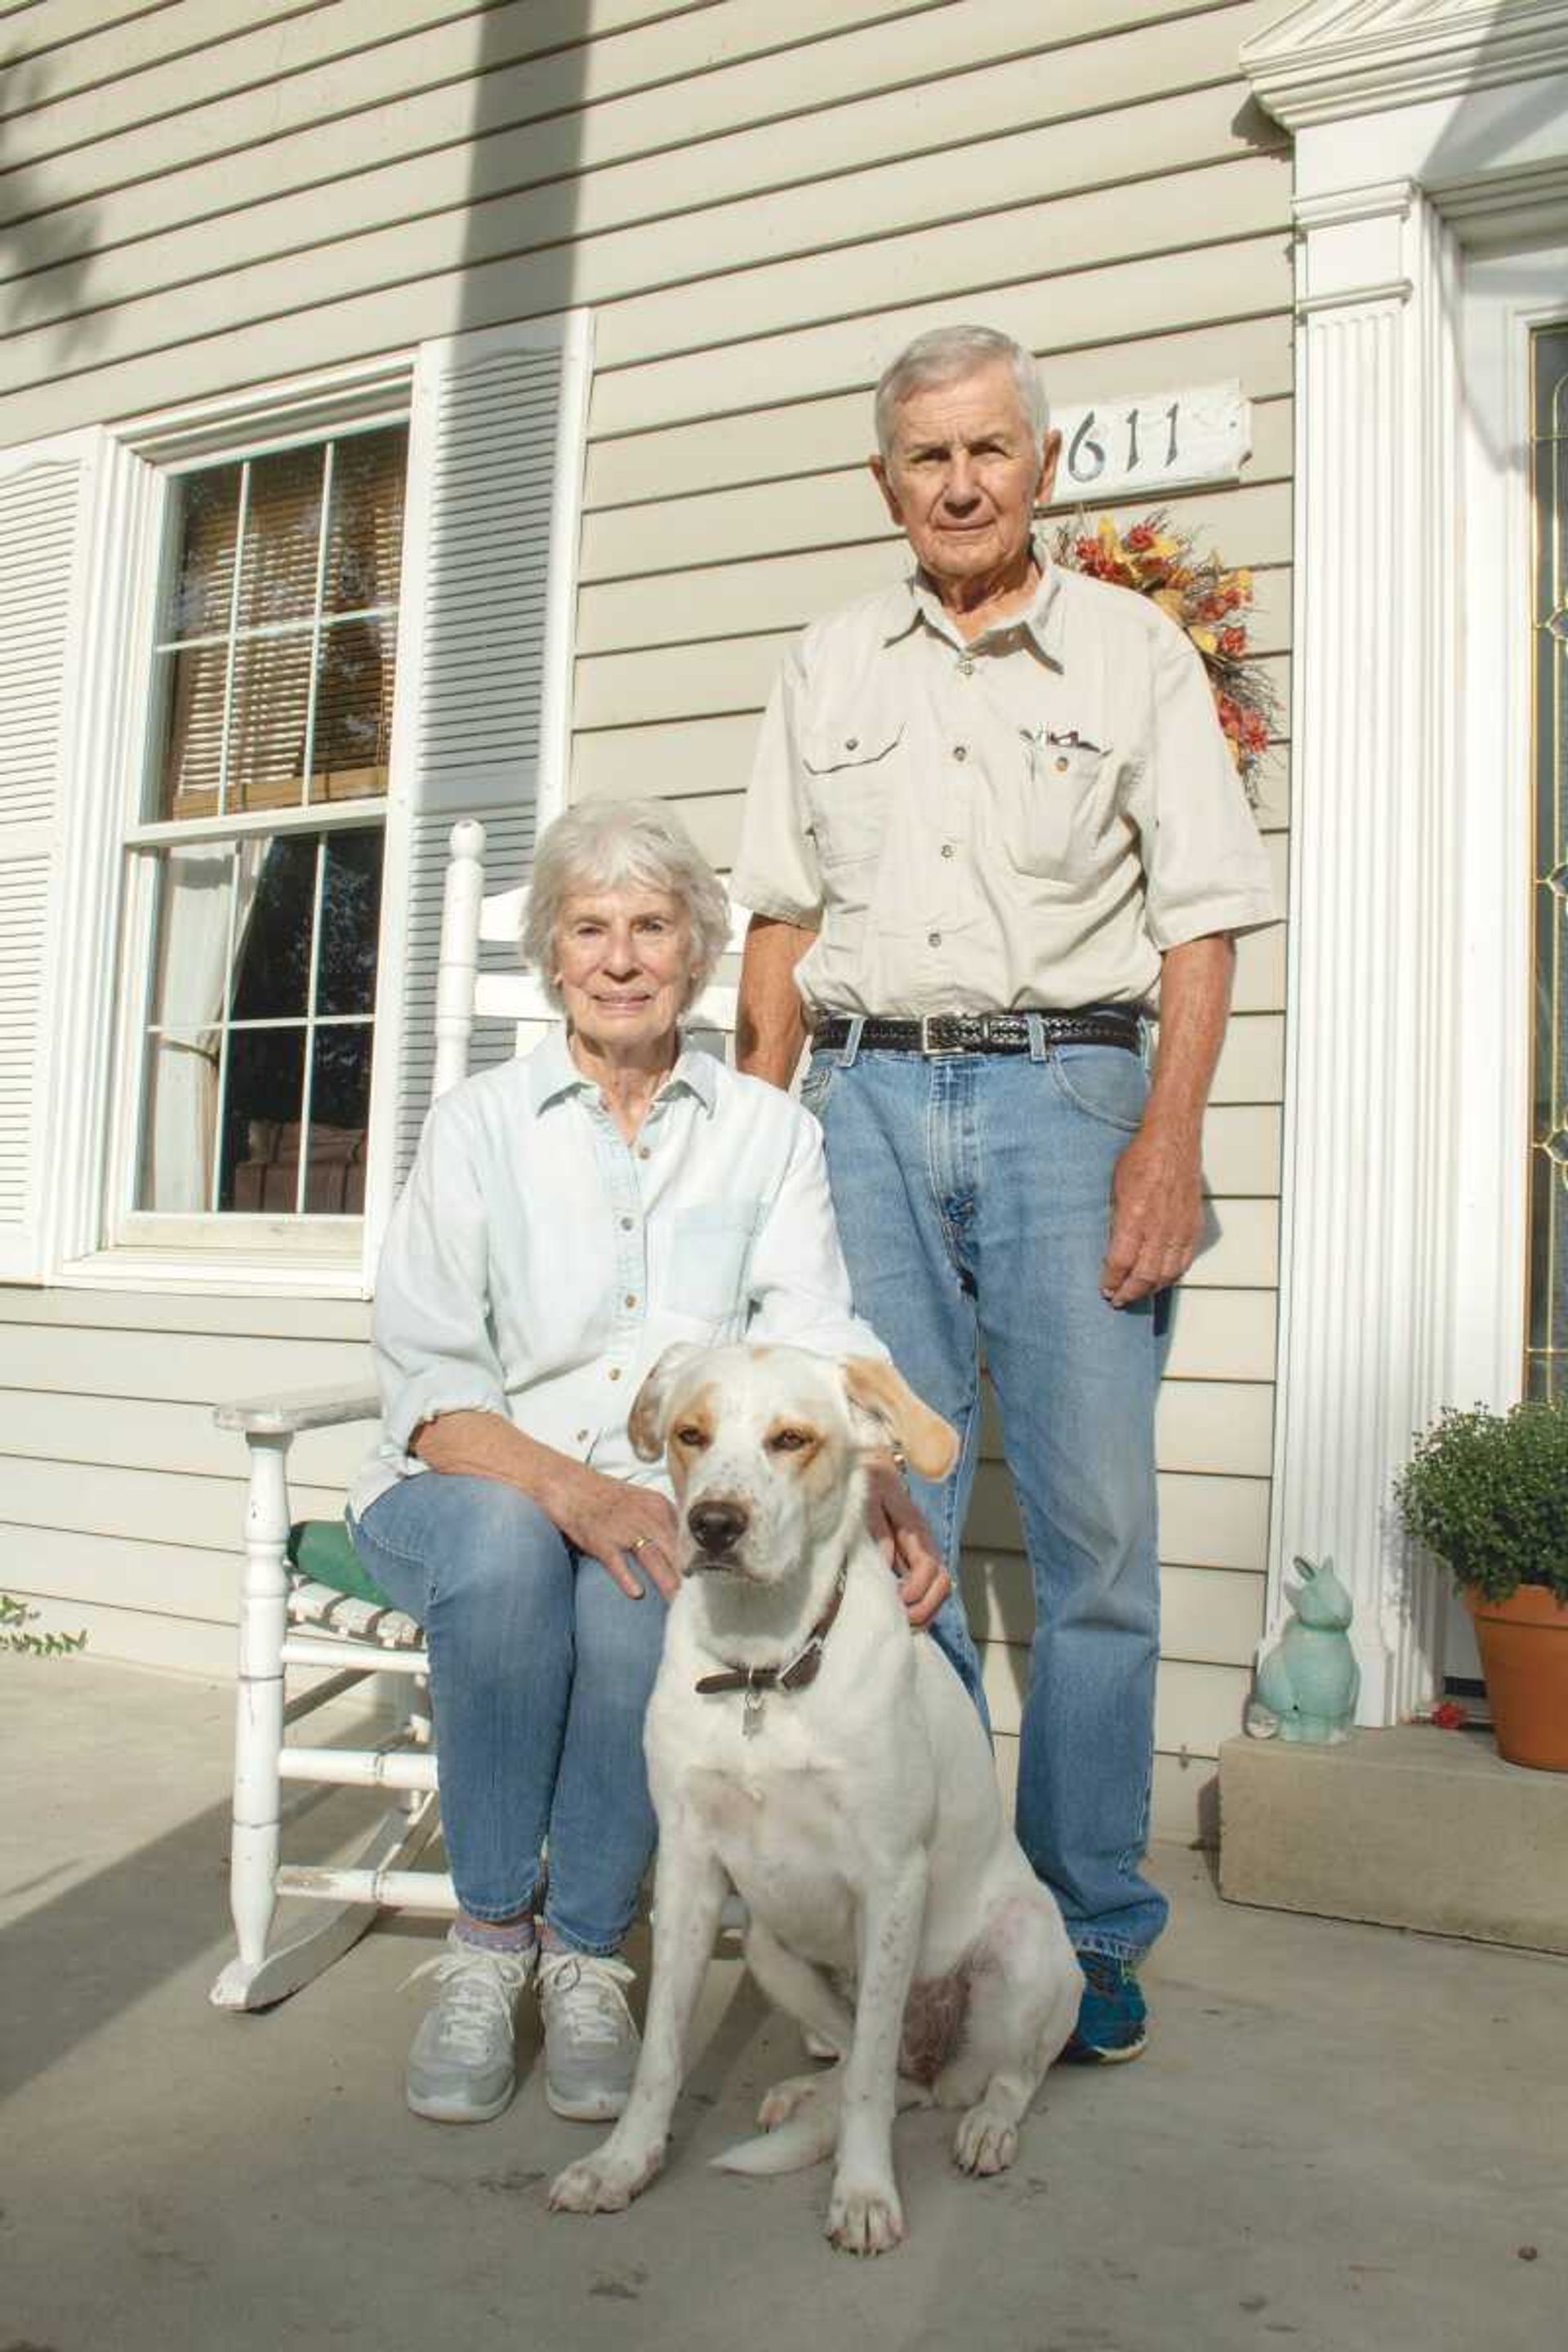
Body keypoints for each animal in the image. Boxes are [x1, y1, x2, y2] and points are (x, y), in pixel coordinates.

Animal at [550, 1354, 1081, 2248]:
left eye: (791, 1439)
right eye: (690, 1433)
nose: (714, 1525)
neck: (762, 1661)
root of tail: (938, 2070)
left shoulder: (892, 1878)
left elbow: (868, 2083)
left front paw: (863, 2193)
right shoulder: (688, 1870)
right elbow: (661, 2054)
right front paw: (623, 2165)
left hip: (1028, 1952)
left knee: (999, 2074)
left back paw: (985, 2129)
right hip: (770, 1948)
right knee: (871, 2058)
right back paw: (805, 2096)